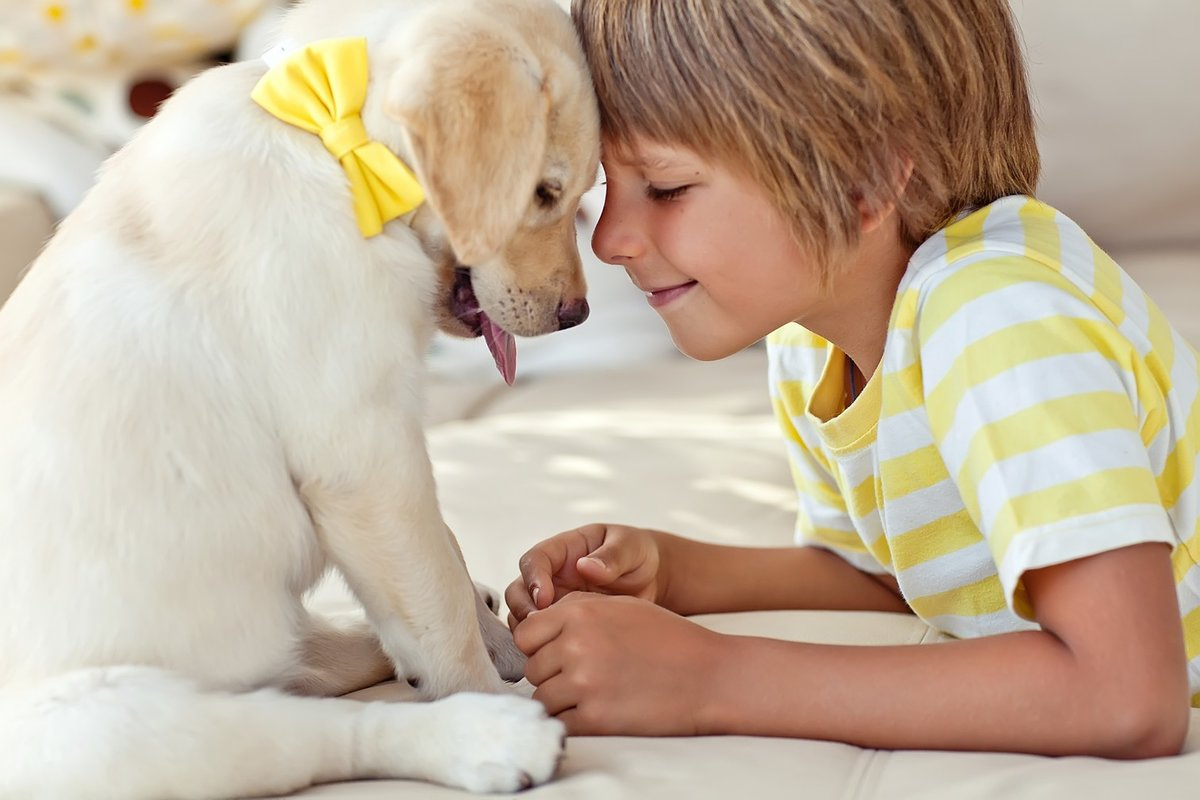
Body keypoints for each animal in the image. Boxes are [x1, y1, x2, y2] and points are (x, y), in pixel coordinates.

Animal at [0, 0, 600, 796]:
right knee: (320, 732)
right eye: (544, 194)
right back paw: (490, 733)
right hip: (102, 729)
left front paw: (495, 636)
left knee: (308, 673)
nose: (578, 316)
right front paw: (482, 678)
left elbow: (439, 551)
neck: (328, 137)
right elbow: (434, 596)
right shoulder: (366, 458)